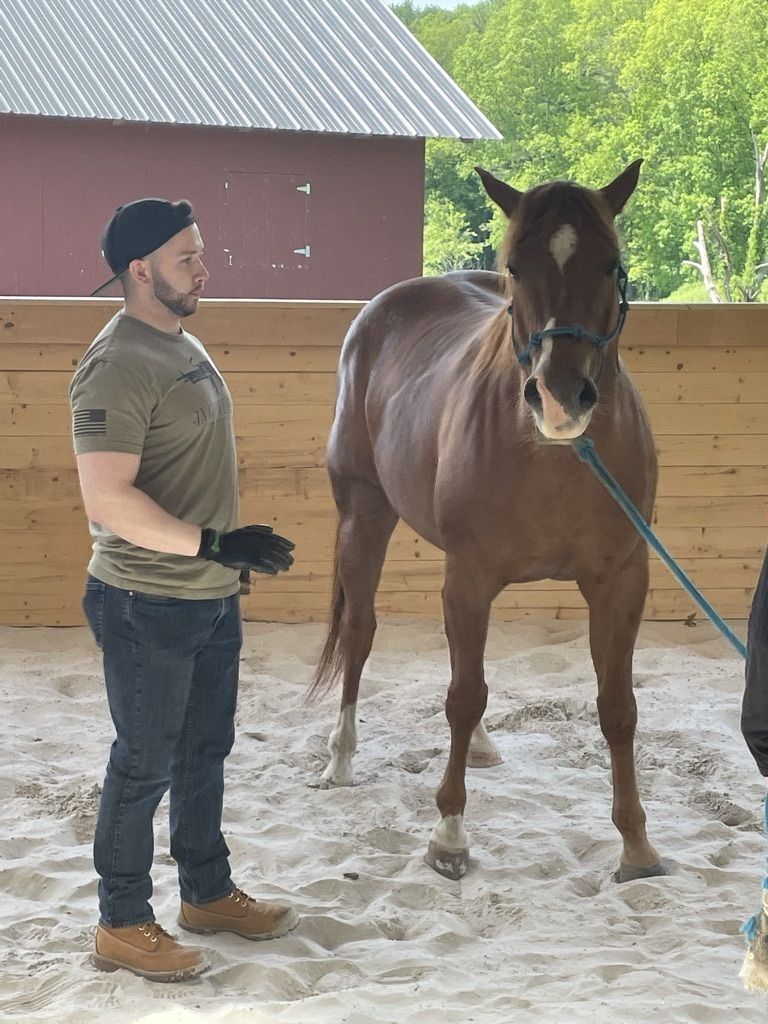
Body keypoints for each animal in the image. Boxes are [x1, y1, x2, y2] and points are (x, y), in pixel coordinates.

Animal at [309, 157, 667, 880]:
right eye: (517, 268)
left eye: (611, 264)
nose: (561, 397)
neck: (556, 456)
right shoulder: (469, 576)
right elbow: (460, 694)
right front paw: (449, 834)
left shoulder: (620, 580)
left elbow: (617, 707)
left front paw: (636, 844)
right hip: (365, 517)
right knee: (361, 633)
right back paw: (341, 756)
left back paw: (477, 745)